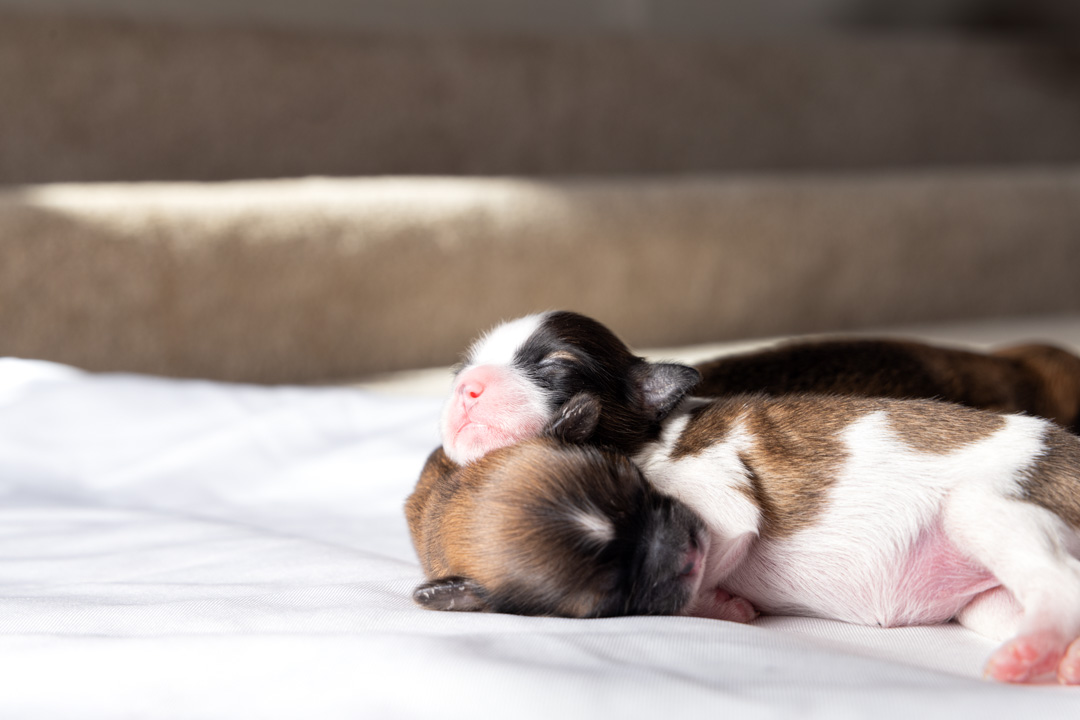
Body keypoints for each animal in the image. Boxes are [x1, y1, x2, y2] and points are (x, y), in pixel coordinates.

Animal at [413, 391, 1080, 685]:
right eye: (608, 594)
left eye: (637, 490)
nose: (687, 548)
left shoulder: (717, 504)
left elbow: (713, 557)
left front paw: (722, 602)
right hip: (987, 603)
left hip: (985, 508)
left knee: (1061, 585)